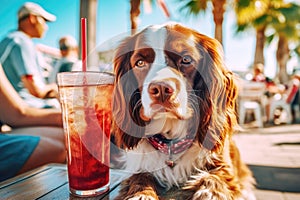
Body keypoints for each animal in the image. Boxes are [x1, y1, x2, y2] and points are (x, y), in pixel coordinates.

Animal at [111, 22, 256, 199]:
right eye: (139, 63)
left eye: (186, 60)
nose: (161, 89)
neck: (171, 145)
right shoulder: (138, 166)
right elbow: (140, 178)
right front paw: (142, 194)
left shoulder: (225, 168)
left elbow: (214, 178)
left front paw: (208, 193)